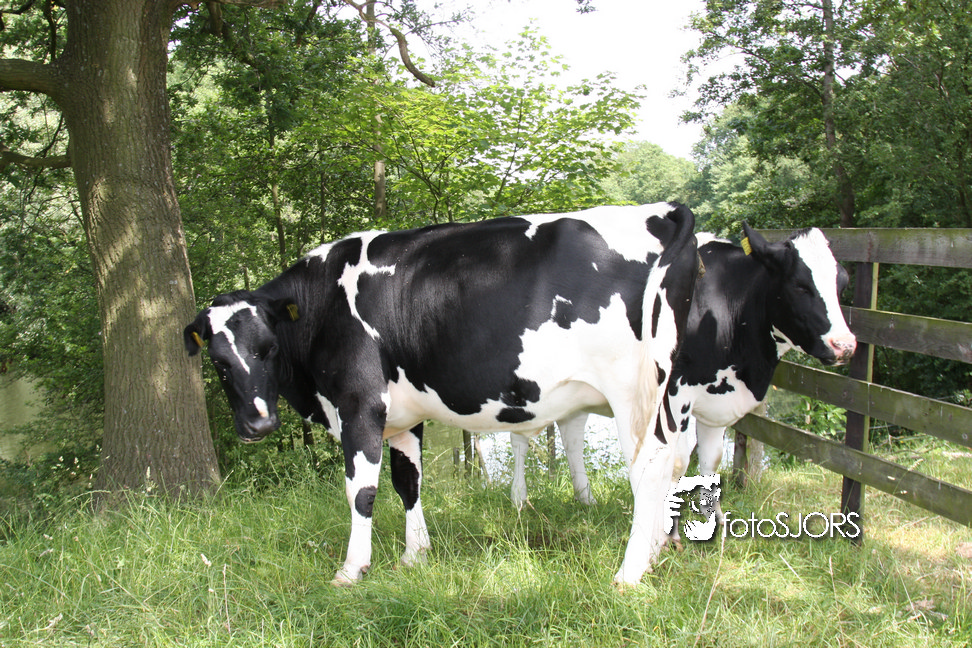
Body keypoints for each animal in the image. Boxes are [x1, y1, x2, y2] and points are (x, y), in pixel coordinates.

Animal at [183, 203, 700, 586]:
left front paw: (351, 570)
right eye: (218, 362)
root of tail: (660, 210)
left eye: (268, 349)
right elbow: (407, 483)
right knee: (677, 459)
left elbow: (361, 491)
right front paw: (415, 556)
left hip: (633, 392)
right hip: (673, 393)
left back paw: (630, 573)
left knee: (650, 468)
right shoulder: (402, 416)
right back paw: (658, 551)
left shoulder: (360, 405)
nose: (258, 424)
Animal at [509, 224, 856, 528]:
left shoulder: (715, 398)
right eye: (800, 284)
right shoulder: (675, 396)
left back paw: (585, 498)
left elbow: (711, 459)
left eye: (842, 283)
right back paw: (519, 500)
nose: (845, 345)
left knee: (570, 435)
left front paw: (714, 519)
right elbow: (677, 461)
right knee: (520, 437)